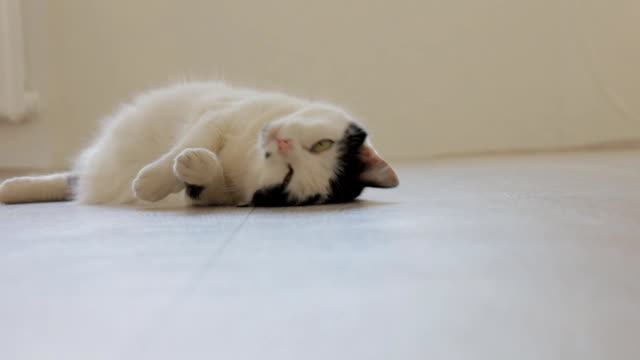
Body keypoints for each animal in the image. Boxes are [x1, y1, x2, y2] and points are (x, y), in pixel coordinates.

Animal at [0, 81, 398, 205]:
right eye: (323, 145)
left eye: (288, 177)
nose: (281, 142)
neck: (246, 156)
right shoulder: (219, 118)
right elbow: (187, 144)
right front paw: (151, 181)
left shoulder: (224, 196)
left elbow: (203, 182)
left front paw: (198, 165)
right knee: (68, 179)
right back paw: (11, 187)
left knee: (72, 183)